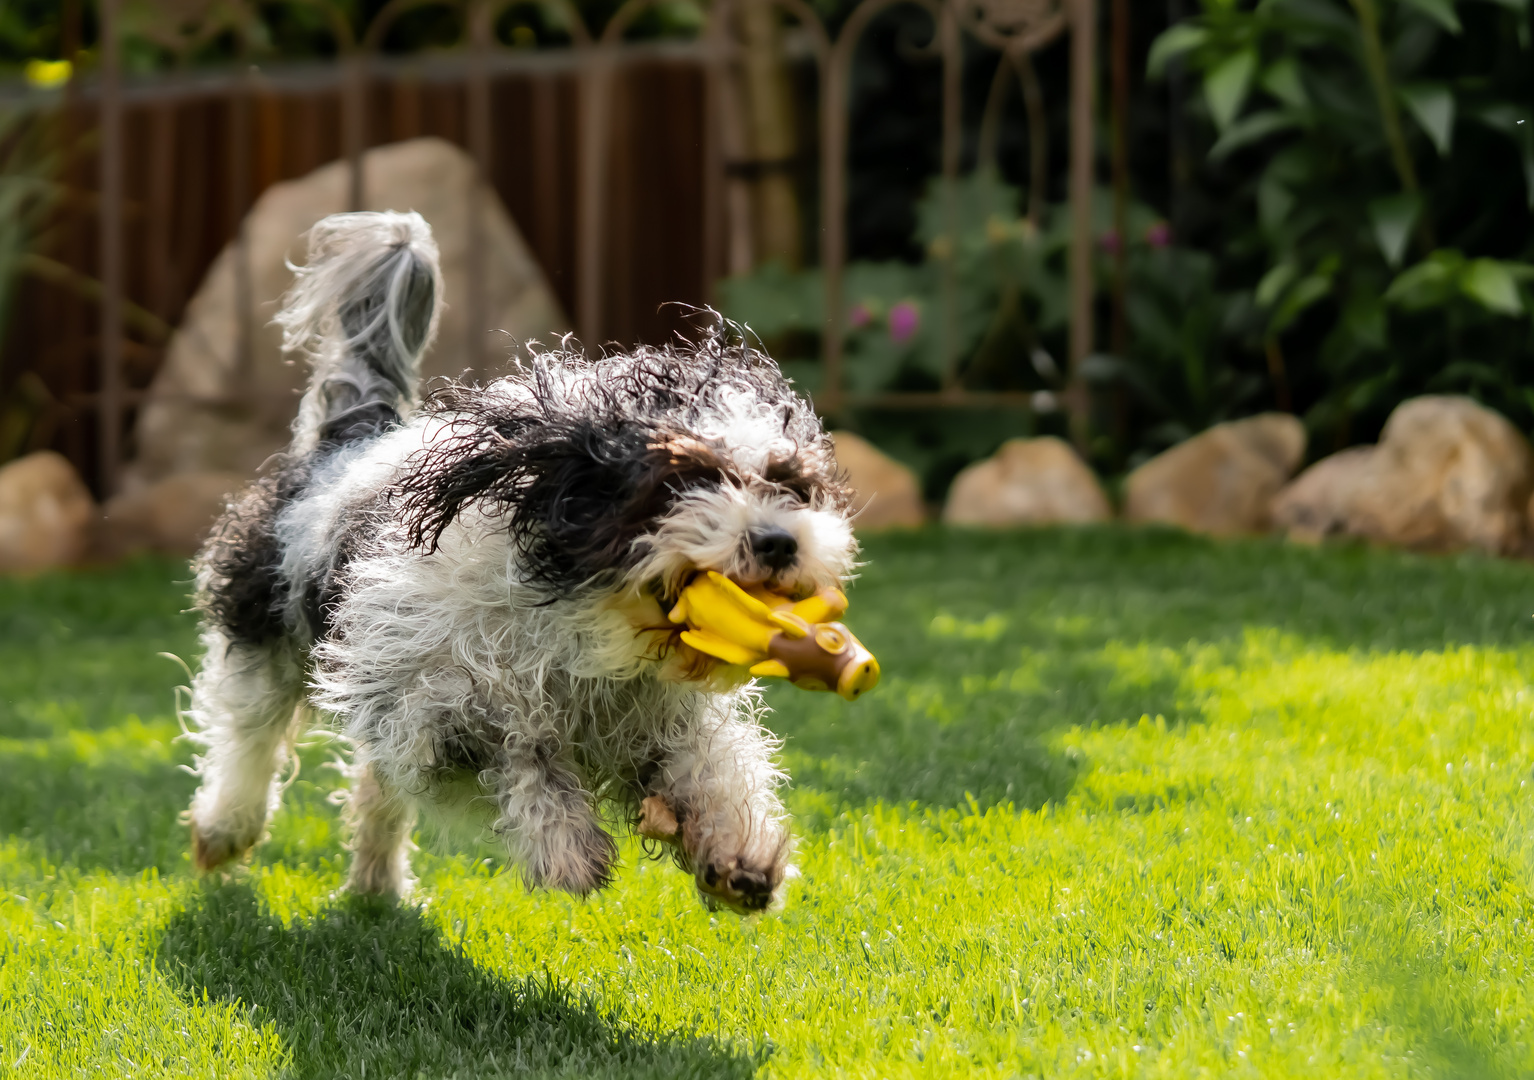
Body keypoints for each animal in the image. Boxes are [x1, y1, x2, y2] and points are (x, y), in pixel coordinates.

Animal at [185, 208, 859, 908]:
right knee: (249, 736)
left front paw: (738, 853)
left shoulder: (661, 717)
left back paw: (378, 886)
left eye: (790, 484)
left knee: (375, 788)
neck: (588, 636)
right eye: (679, 482)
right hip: (262, 632)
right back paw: (224, 830)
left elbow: (710, 762)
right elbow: (519, 748)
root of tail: (348, 439)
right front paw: (565, 844)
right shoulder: (426, 709)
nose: (778, 541)